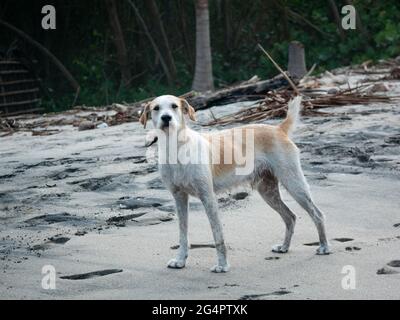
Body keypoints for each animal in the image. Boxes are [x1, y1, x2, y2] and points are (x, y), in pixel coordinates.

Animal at [139, 94, 330, 272]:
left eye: (174, 106)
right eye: (156, 108)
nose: (166, 118)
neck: (176, 148)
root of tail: (278, 129)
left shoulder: (208, 198)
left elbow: (218, 235)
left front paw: (222, 265)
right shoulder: (179, 198)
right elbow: (183, 233)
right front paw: (180, 260)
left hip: (294, 183)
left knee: (318, 214)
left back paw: (324, 247)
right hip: (268, 191)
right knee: (290, 217)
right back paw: (284, 247)